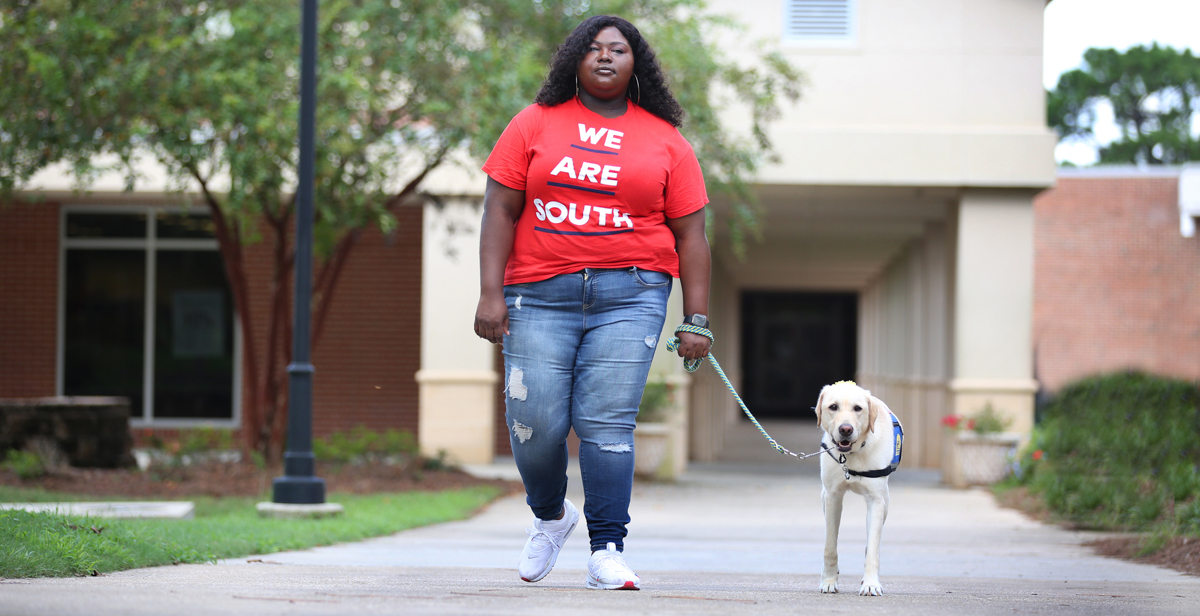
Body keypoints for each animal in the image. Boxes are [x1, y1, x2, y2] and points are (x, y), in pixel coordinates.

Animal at [816, 379, 902, 595]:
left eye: (858, 408)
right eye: (833, 407)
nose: (845, 429)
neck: (851, 455)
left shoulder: (876, 500)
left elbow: (873, 547)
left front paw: (871, 583)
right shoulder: (832, 496)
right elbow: (830, 545)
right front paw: (829, 581)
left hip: (885, 503)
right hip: (823, 498)